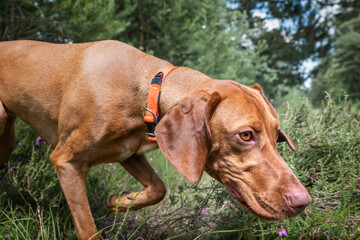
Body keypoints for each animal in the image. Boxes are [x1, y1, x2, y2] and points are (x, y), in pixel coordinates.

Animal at [0, 40, 310, 239]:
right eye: (245, 135)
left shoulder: (130, 153)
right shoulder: (67, 162)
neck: (147, 89)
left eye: (276, 134)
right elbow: (88, 229)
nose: (303, 201)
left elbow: (158, 189)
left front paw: (119, 202)